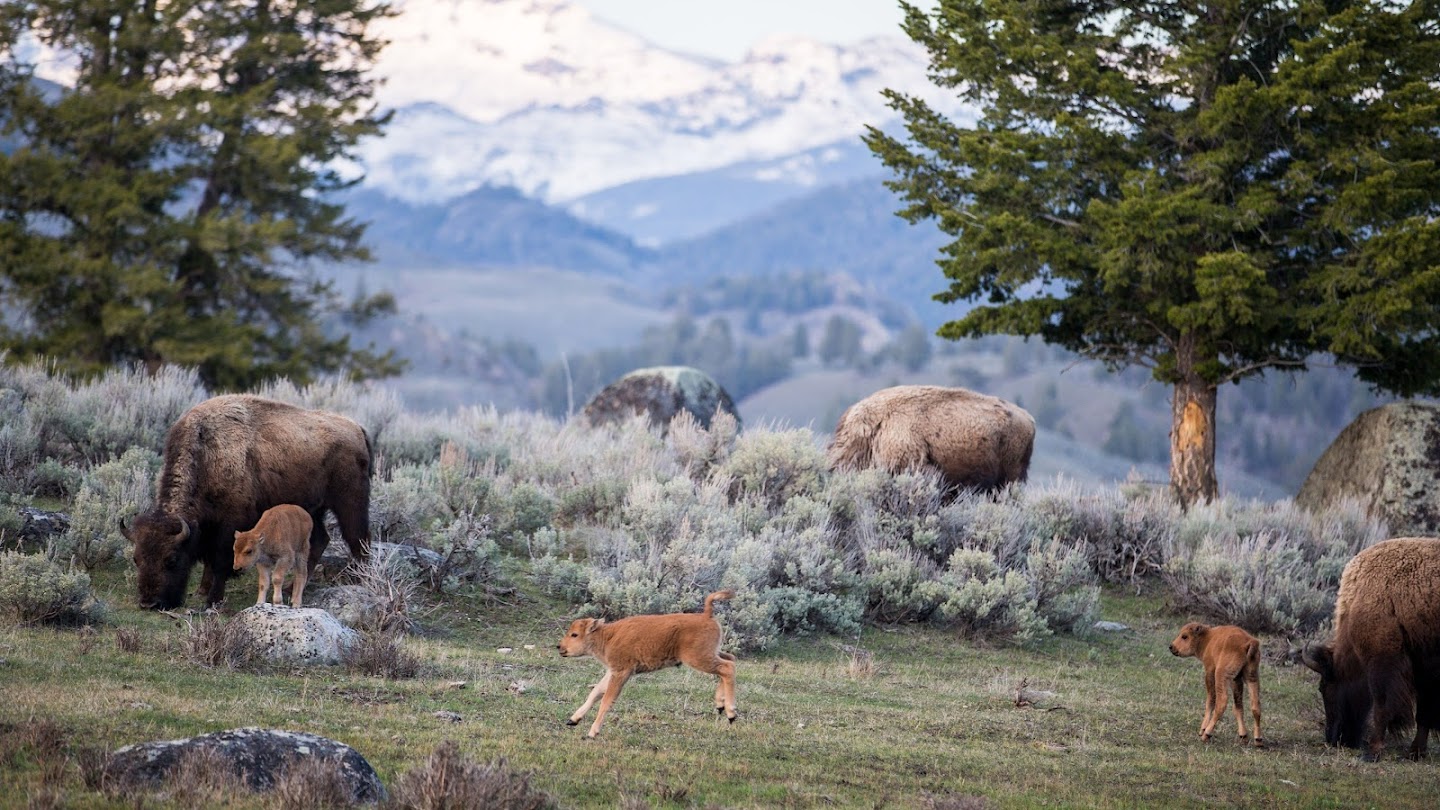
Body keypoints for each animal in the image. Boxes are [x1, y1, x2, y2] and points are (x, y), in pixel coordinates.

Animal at [121, 392, 374, 605]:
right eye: (136, 559)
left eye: (171, 559)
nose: (149, 603)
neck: (207, 455)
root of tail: (357, 428)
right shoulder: (211, 528)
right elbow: (210, 561)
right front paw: (202, 591)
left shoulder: (229, 526)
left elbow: (221, 561)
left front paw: (212, 600)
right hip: (311, 509)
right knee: (320, 540)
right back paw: (292, 588)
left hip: (350, 503)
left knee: (359, 540)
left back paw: (362, 581)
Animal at [1169, 619, 1261, 749]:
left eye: (1184, 636)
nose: (1171, 647)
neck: (1208, 638)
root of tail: (1250, 642)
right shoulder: (1236, 679)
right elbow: (1238, 706)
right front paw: (1243, 736)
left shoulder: (1210, 671)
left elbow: (1210, 700)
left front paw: (1202, 729)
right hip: (1252, 677)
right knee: (1255, 706)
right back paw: (1258, 740)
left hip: (1221, 675)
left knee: (1221, 702)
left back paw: (1206, 734)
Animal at [1307, 536, 1440, 755]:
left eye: (1324, 687)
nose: (1334, 739)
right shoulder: (1424, 665)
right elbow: (1424, 711)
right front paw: (1416, 751)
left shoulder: (1382, 659)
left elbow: (1381, 704)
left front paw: (1373, 749)